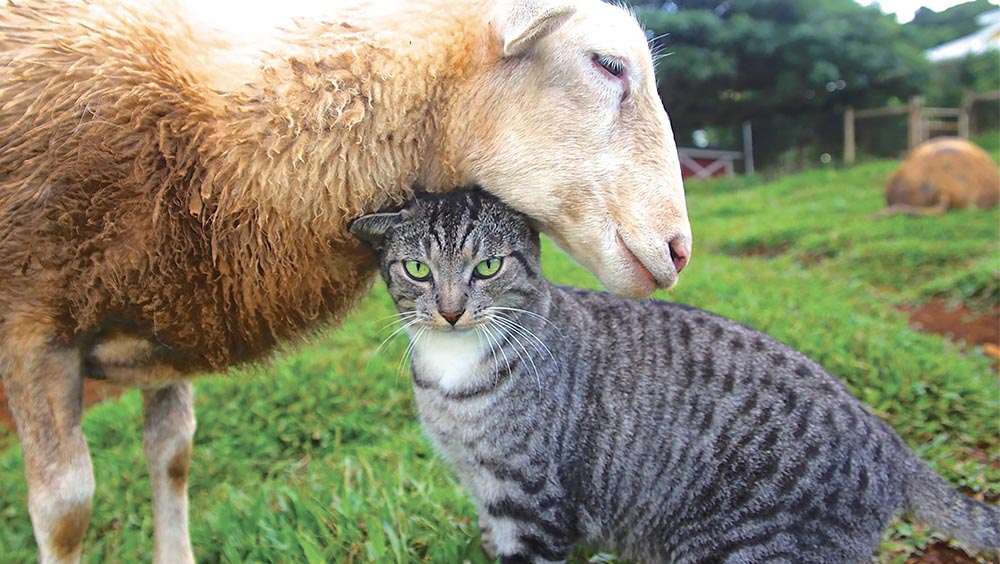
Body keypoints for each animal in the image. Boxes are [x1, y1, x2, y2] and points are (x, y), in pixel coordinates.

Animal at [0, 0, 692, 562]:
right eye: (608, 64)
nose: (680, 251)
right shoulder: (32, 334)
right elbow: (65, 512)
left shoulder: (164, 326)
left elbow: (171, 460)